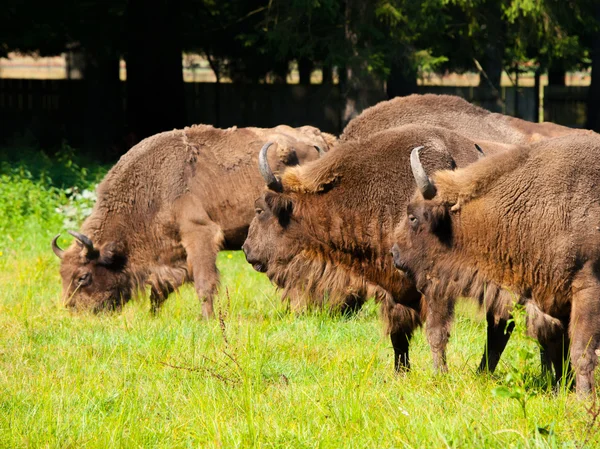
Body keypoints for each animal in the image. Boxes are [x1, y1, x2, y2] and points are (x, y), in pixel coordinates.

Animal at [52, 123, 336, 316]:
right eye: (62, 275)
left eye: (83, 276)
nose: (73, 310)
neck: (151, 186)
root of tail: (321, 138)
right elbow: (160, 288)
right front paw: (153, 317)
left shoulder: (199, 234)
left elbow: (204, 282)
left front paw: (207, 320)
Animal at [241, 124, 556, 372]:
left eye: (259, 209)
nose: (246, 250)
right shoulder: (394, 288)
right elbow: (398, 334)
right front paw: (401, 373)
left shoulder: (436, 287)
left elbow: (436, 332)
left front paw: (439, 375)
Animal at [392, 135, 600, 394]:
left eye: (413, 217)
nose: (395, 254)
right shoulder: (549, 299)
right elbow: (557, 347)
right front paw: (564, 388)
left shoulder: (586, 290)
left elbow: (581, 350)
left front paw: (583, 398)